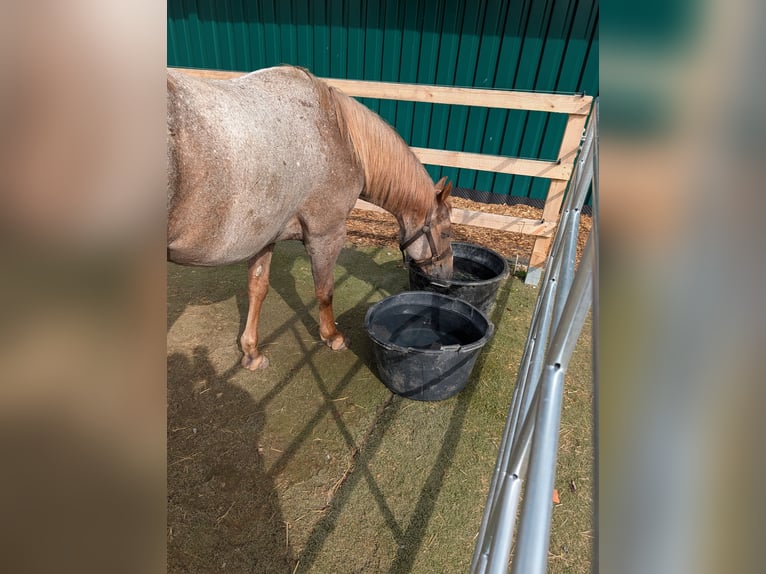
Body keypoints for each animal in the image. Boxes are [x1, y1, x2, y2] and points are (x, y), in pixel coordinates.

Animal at [167, 65, 453, 370]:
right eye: (447, 232)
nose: (448, 275)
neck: (340, 135)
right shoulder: (326, 234)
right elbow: (325, 290)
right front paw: (333, 337)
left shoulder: (264, 236)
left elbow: (257, 289)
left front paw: (252, 352)